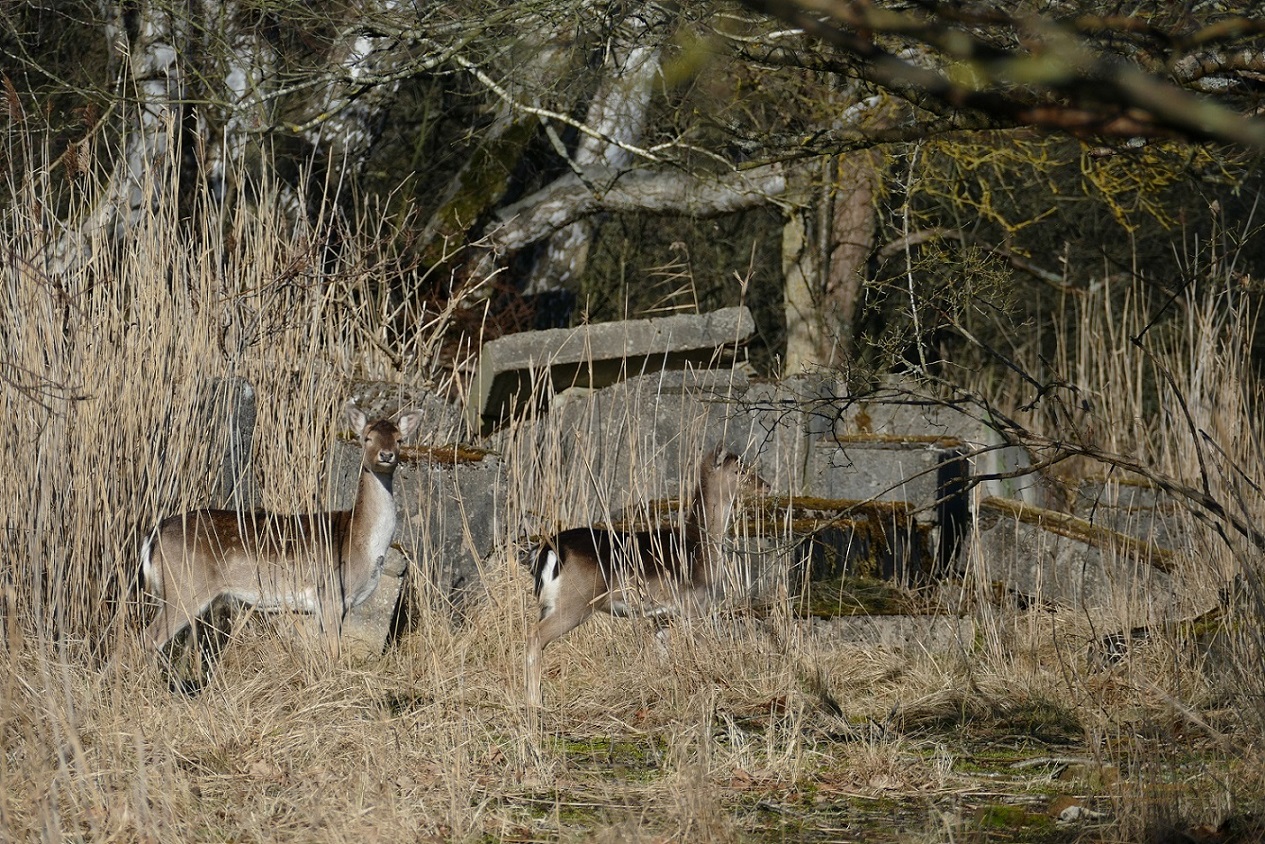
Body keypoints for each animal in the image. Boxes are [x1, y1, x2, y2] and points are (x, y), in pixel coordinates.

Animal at [140, 404, 419, 693]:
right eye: (366, 438)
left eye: (400, 440)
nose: (386, 455)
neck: (360, 542)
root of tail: (152, 537)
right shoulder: (330, 593)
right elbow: (334, 652)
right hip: (185, 588)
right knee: (150, 637)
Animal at [526, 447, 769, 708]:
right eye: (740, 470)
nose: (765, 485)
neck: (701, 547)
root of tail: (548, 550)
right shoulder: (695, 606)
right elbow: (703, 646)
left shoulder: (662, 615)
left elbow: (662, 655)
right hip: (575, 602)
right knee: (535, 636)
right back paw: (535, 702)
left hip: (548, 603)